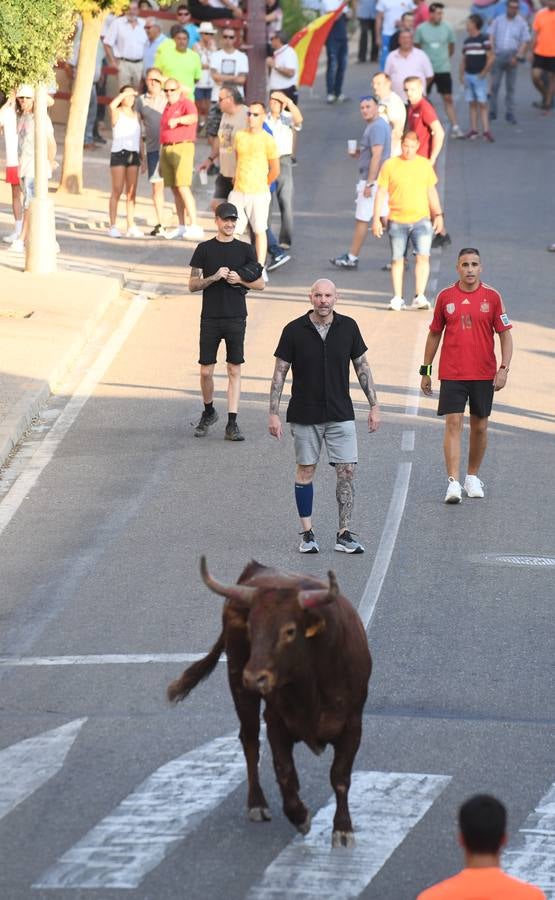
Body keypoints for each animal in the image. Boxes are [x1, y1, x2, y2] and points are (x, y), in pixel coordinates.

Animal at [167, 560, 372, 848]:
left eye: (289, 631)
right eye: (252, 629)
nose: (255, 677)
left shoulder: (353, 725)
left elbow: (340, 776)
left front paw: (342, 830)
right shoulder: (275, 721)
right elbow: (284, 771)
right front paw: (300, 816)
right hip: (239, 686)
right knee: (250, 741)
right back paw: (257, 804)